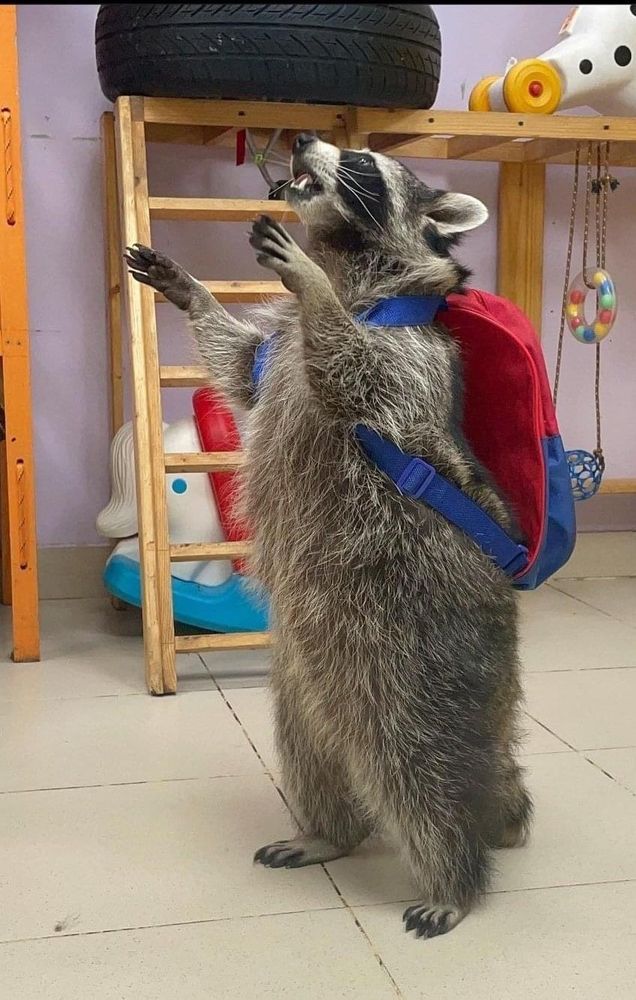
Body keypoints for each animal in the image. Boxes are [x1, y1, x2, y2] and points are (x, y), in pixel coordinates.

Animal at [125, 133, 532, 940]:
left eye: (366, 162)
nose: (302, 141)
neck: (355, 263)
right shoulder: (276, 358)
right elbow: (241, 368)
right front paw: (192, 292)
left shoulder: (408, 365)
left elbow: (349, 368)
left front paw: (310, 286)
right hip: (307, 679)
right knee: (313, 751)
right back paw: (328, 832)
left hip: (414, 652)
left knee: (426, 766)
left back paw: (455, 876)